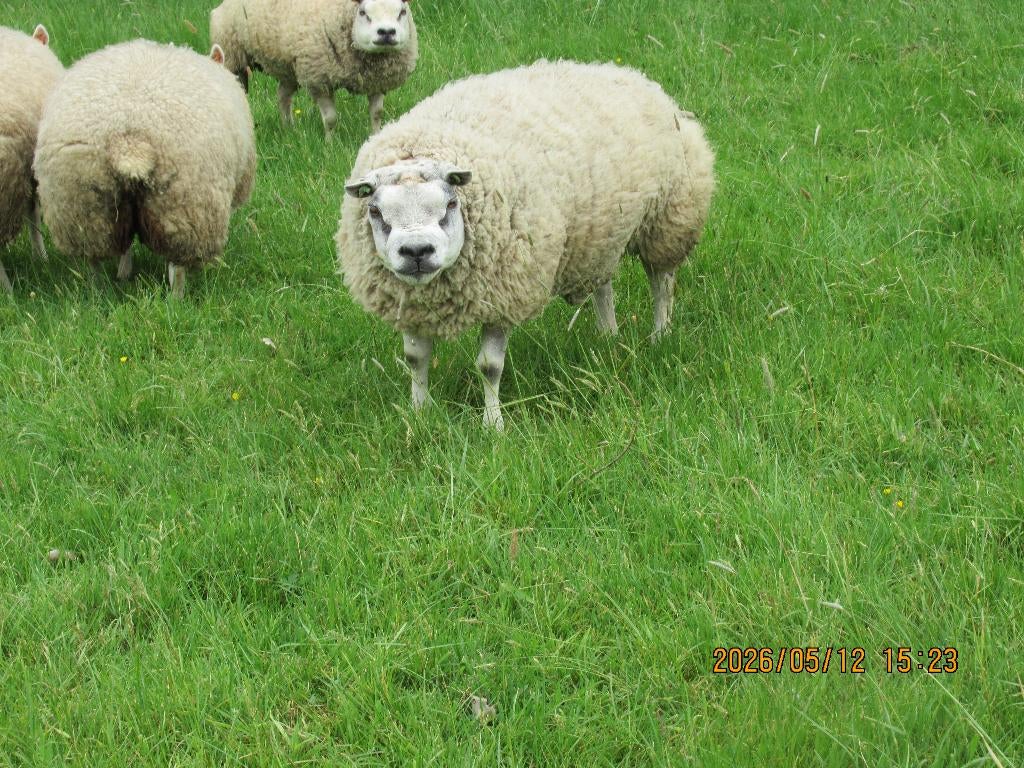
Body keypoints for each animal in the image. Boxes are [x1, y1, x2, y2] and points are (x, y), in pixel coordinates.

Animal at [33, 41, 256, 298]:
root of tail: (130, 140)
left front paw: (124, 272)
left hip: (82, 202)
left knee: (94, 254)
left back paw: (99, 290)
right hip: (183, 203)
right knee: (177, 263)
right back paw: (177, 299)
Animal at [210, 0, 418, 136]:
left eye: (402, 12)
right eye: (363, 13)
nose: (386, 32)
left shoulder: (377, 80)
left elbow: (376, 114)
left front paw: (374, 136)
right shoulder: (318, 78)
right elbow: (331, 119)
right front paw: (329, 144)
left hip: (289, 68)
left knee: (283, 95)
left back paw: (289, 128)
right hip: (232, 55)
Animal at [336, 60, 715, 430]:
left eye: (451, 204)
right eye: (375, 211)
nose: (416, 252)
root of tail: (627, 73)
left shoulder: (505, 294)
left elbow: (489, 366)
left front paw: (493, 425)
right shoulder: (411, 304)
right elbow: (415, 359)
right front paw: (418, 414)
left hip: (670, 219)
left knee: (662, 283)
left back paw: (660, 336)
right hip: (600, 233)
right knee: (603, 285)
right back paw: (607, 336)